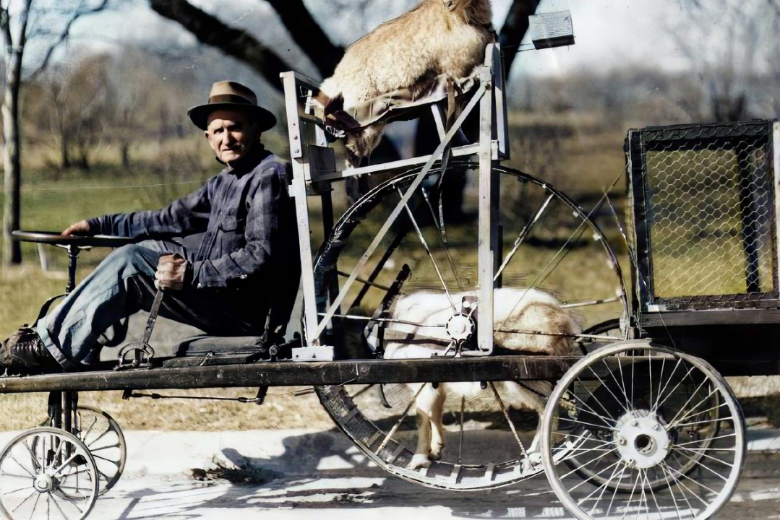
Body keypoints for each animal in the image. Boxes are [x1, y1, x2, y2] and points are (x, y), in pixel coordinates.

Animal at [378, 288, 580, 472]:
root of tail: (565, 320)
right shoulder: (436, 382)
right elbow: (435, 413)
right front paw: (435, 450)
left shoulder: (422, 382)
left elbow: (422, 418)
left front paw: (418, 460)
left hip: (526, 373)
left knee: (546, 408)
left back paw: (537, 453)